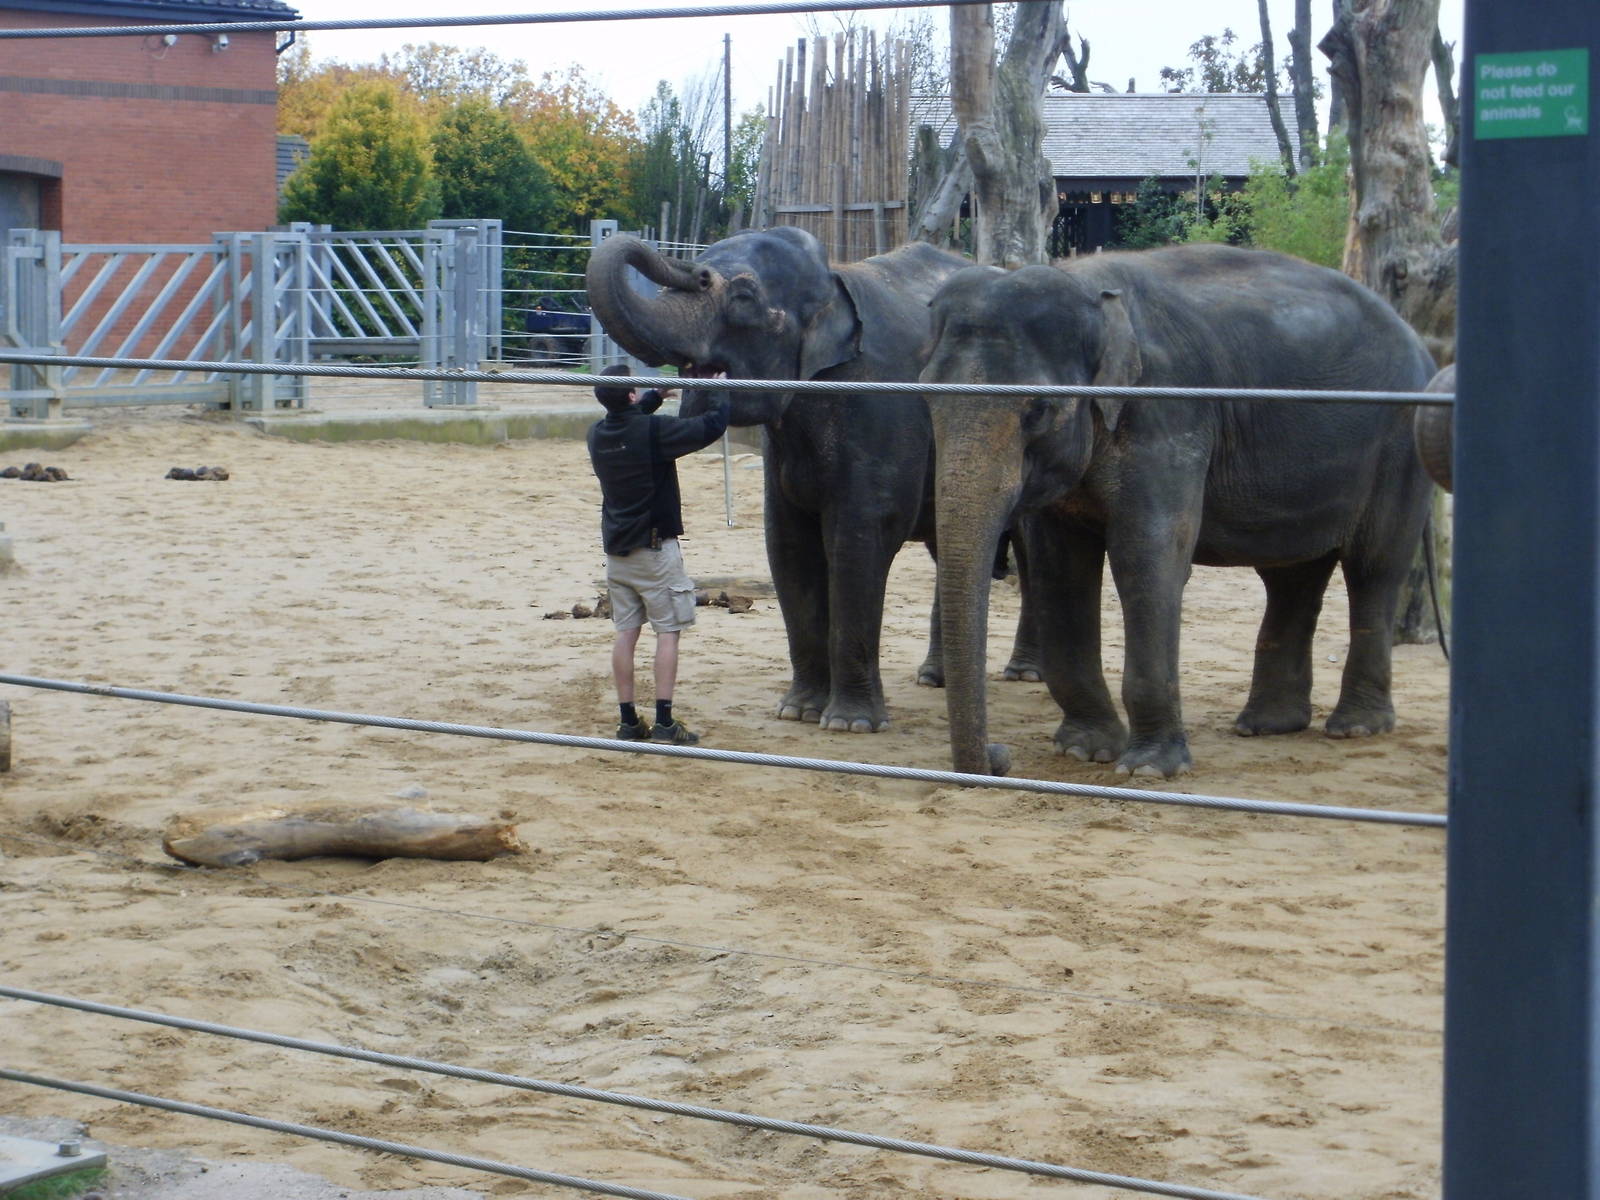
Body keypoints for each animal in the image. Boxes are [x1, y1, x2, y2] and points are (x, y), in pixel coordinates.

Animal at [586, 227, 1038, 733]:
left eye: (743, 297)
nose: (695, 271)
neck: (834, 281)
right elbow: (788, 544)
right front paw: (798, 711)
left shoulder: (881, 403)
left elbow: (859, 541)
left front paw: (850, 724)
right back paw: (934, 679)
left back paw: (1023, 672)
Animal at [919, 243, 1437, 779]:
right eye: (925, 398)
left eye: (1038, 409)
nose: (999, 757)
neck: (1089, 289)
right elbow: (1058, 568)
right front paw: (1085, 750)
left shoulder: (1169, 413)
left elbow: (1147, 555)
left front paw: (1147, 770)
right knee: (1293, 576)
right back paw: (1267, 726)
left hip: (1400, 447)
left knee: (1374, 567)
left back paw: (1355, 727)